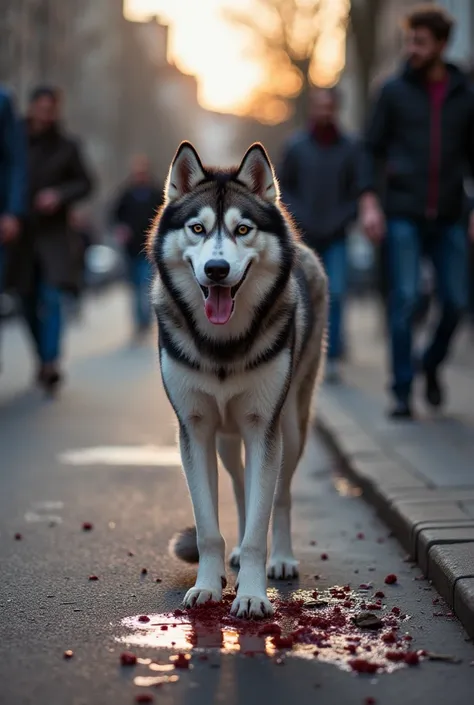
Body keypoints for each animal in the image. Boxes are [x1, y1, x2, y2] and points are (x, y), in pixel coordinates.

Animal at [150, 142, 328, 616]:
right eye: (197, 228)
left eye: (243, 229)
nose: (215, 269)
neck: (223, 346)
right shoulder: (195, 429)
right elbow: (209, 527)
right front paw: (207, 586)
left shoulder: (262, 426)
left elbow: (260, 524)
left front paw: (250, 596)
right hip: (228, 441)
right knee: (241, 485)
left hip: (290, 427)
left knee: (279, 496)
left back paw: (281, 558)